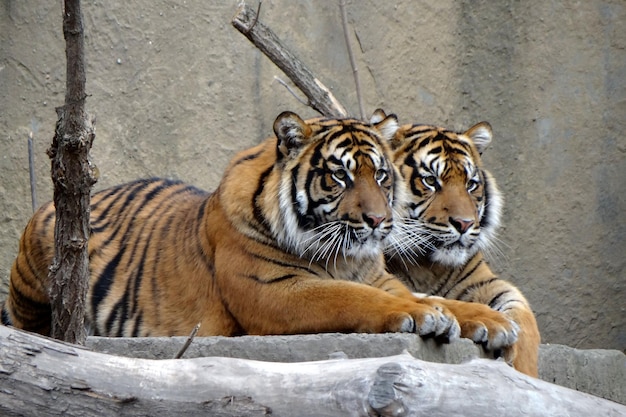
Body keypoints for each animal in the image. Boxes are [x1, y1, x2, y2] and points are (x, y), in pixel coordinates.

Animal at [382, 114, 540, 376]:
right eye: (430, 181)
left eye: (471, 184)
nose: (464, 224)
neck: (428, 265)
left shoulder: (484, 281)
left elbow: (524, 316)